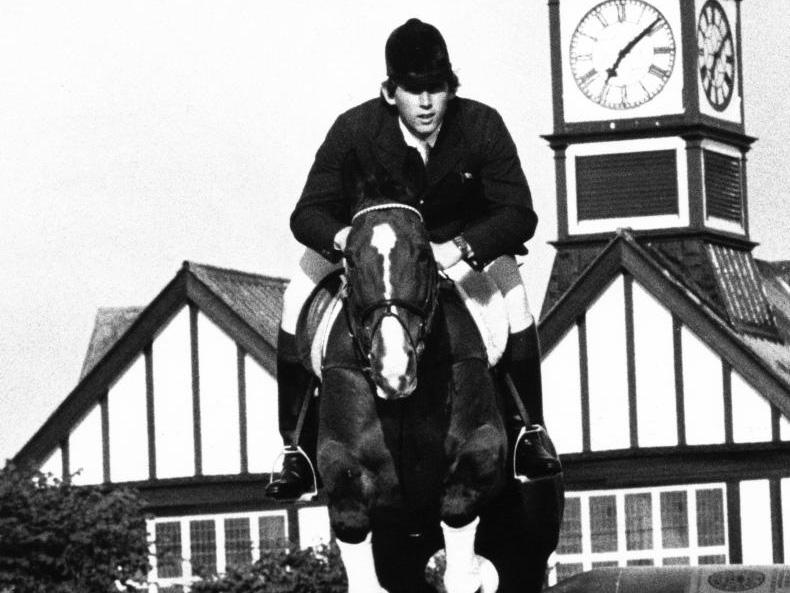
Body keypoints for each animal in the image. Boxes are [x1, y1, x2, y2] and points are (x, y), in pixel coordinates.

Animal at [308, 173, 563, 593]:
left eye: (424, 255)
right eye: (351, 259)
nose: (394, 369)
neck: (400, 404)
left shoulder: (477, 457)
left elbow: (460, 544)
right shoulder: (344, 476)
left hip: (525, 548)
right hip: (400, 552)